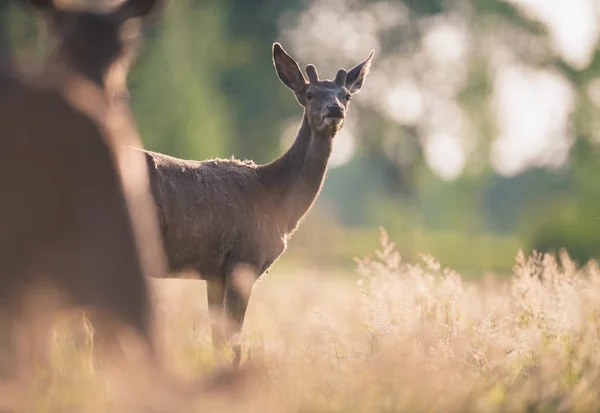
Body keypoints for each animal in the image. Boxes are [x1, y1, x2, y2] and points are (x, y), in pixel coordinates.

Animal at [139, 42, 376, 364]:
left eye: (346, 95)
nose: (334, 109)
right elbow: (234, 340)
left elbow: (218, 339)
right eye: (310, 93)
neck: (277, 201)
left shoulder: (214, 272)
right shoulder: (245, 258)